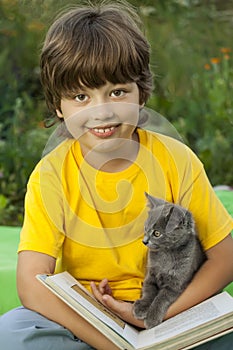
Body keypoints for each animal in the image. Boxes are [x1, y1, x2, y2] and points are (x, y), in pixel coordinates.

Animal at [133, 193, 206, 330]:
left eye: (157, 233)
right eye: (145, 228)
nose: (144, 241)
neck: (165, 254)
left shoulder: (176, 283)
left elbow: (161, 298)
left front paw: (152, 318)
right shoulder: (150, 274)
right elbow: (149, 289)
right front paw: (142, 307)